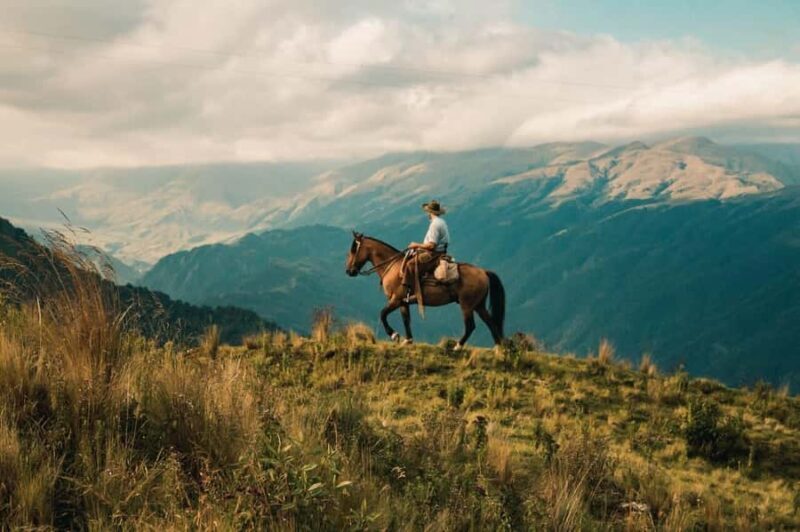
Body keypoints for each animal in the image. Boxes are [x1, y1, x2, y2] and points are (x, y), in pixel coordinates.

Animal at [345, 232, 506, 351]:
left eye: (353, 250)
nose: (349, 271)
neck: (393, 266)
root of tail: (483, 272)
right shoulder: (403, 302)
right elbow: (406, 320)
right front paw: (408, 340)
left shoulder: (395, 300)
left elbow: (382, 314)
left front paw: (394, 335)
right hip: (478, 305)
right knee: (491, 322)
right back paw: (498, 348)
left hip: (467, 305)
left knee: (471, 326)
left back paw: (458, 346)